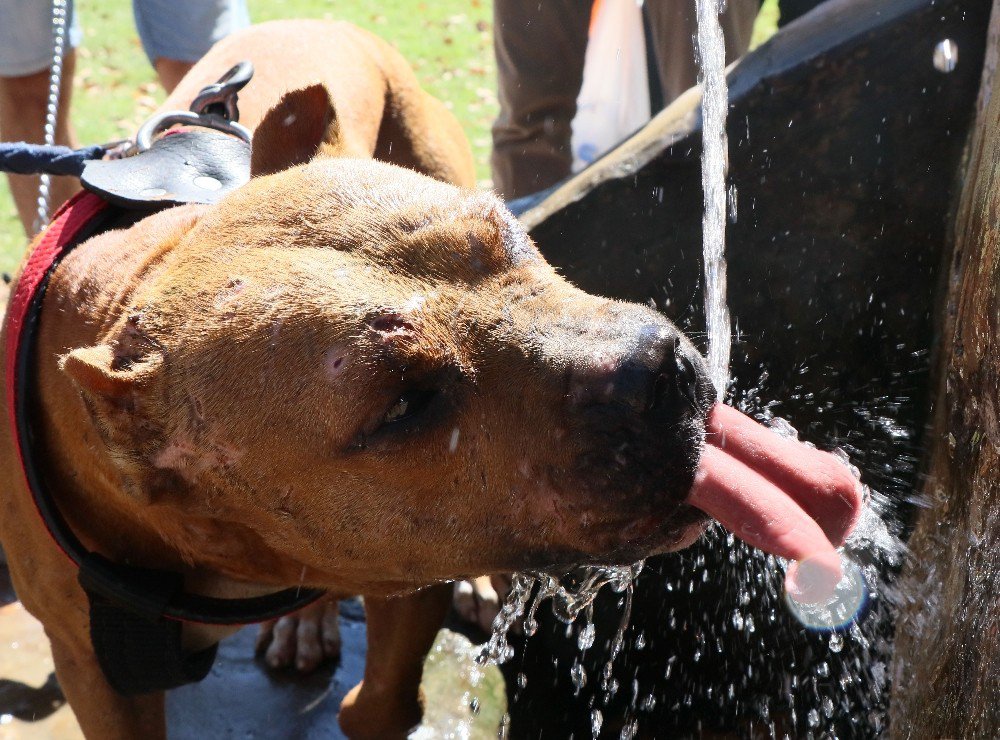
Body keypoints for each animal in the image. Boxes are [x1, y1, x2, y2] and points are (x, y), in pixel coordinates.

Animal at [0, 17, 720, 740]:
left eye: (508, 236)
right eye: (402, 406)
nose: (658, 371)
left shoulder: (414, 566)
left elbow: (381, 703)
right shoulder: (92, 672)